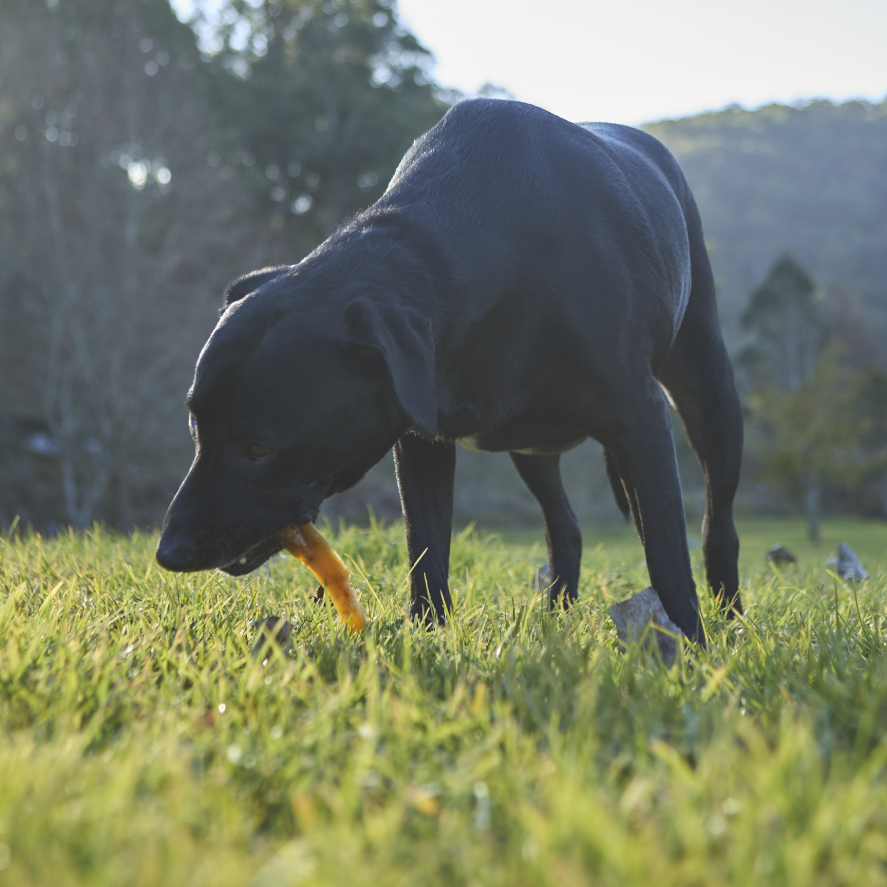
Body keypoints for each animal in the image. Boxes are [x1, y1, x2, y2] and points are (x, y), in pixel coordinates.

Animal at [158, 100, 744, 644]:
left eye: (257, 449)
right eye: (195, 427)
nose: (169, 553)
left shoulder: (640, 419)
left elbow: (667, 551)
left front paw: (689, 643)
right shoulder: (420, 437)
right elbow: (426, 546)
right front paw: (428, 634)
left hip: (708, 393)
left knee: (717, 526)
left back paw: (730, 618)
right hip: (532, 444)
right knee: (567, 528)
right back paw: (556, 614)